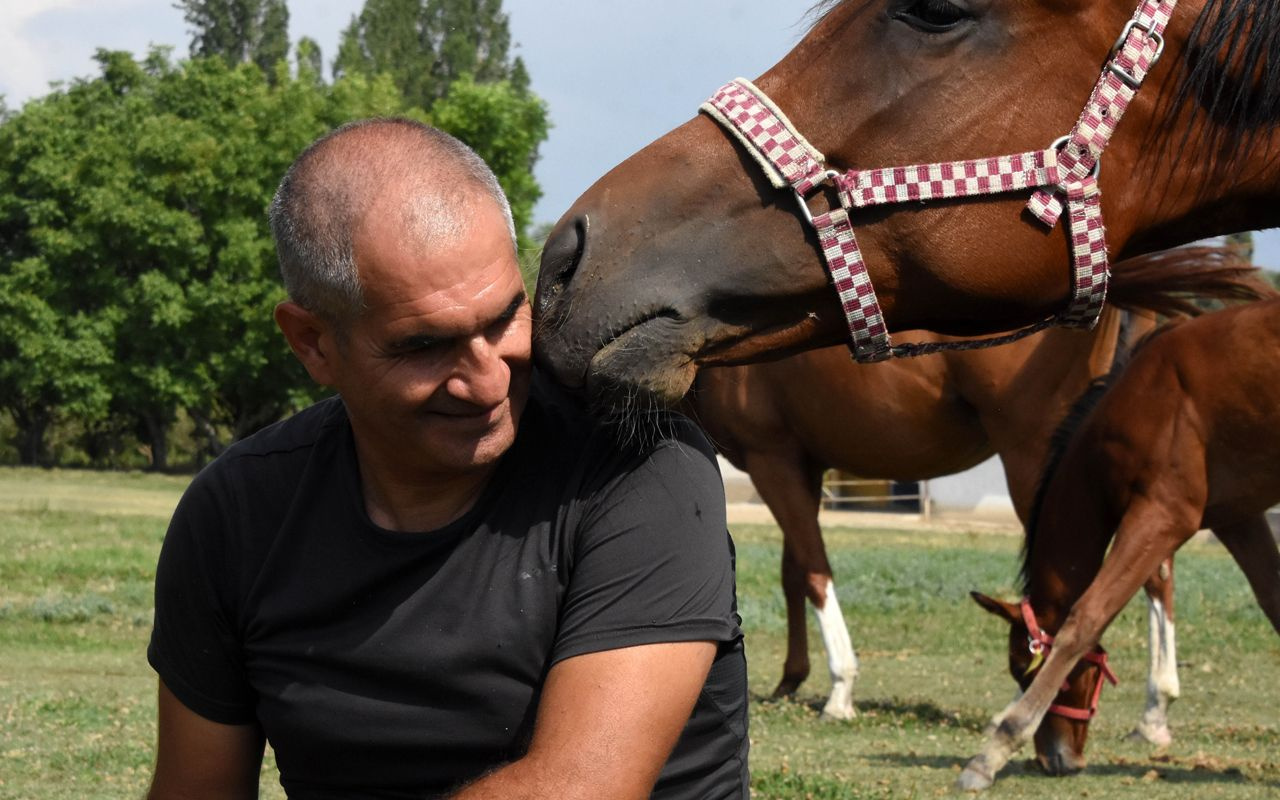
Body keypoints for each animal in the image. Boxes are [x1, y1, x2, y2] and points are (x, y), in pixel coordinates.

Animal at [691, 249, 1259, 742]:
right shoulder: (804, 466)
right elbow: (794, 574)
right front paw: (792, 677)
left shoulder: (774, 460)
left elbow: (813, 573)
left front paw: (840, 690)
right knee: (1156, 574)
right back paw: (1154, 711)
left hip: (1040, 460)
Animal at [962, 296, 1280, 788]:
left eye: (1020, 668)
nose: (1057, 759)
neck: (1144, 397)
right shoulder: (1238, 518)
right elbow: (1275, 601)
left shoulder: (1162, 516)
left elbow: (1085, 618)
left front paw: (993, 749)